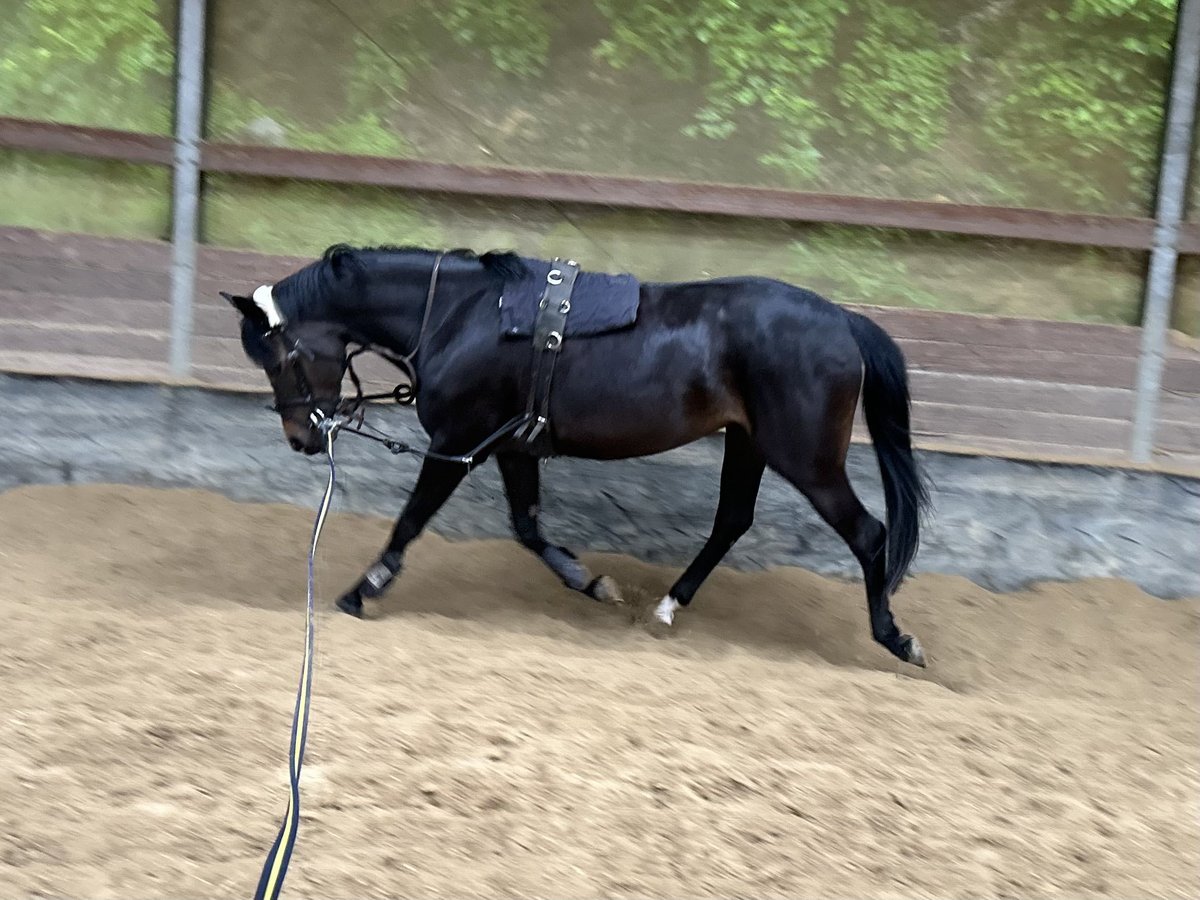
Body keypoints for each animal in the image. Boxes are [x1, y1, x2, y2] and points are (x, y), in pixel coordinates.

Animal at [226, 243, 936, 667]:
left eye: (282, 357)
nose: (302, 437)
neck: (461, 315)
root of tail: (843, 321)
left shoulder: (457, 441)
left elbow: (412, 519)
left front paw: (360, 591)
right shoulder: (511, 444)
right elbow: (528, 527)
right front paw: (591, 582)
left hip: (806, 458)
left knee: (870, 535)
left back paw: (896, 638)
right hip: (750, 443)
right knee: (732, 521)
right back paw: (666, 606)